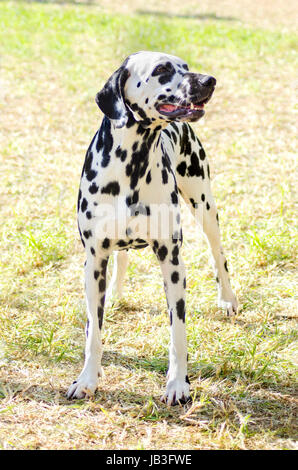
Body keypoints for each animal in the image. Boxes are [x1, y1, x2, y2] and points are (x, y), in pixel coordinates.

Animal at [67, 50, 237, 404]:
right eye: (161, 69)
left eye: (186, 67)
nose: (209, 80)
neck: (132, 165)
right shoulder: (94, 261)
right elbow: (93, 332)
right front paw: (87, 379)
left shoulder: (172, 261)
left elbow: (178, 332)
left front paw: (177, 384)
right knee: (121, 259)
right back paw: (114, 295)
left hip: (205, 206)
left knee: (218, 254)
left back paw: (228, 299)